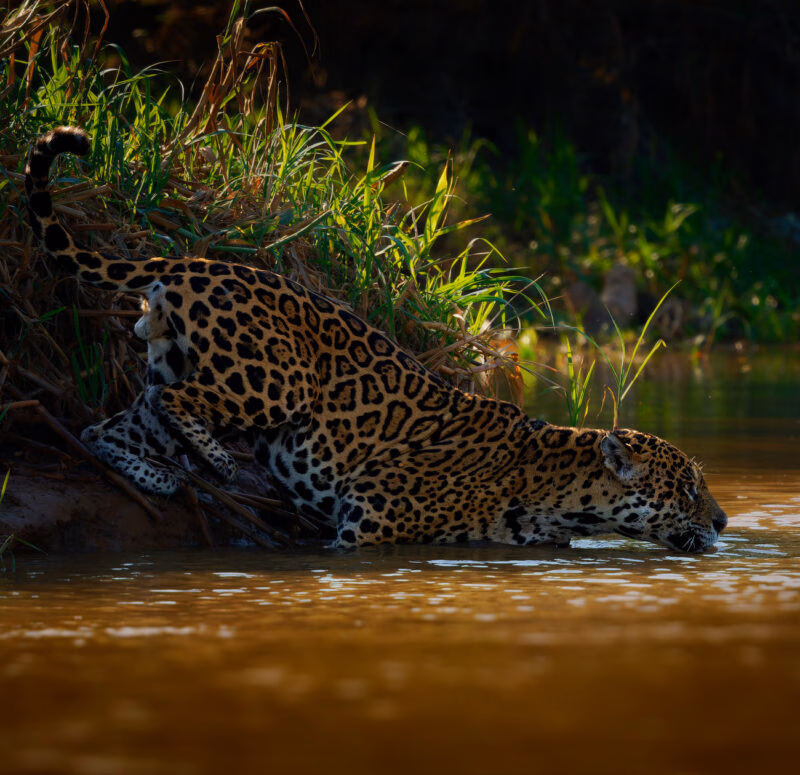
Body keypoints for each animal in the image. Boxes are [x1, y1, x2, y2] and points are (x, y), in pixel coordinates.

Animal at [24, 126, 728, 552]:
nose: (723, 521)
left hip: (170, 359)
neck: (557, 493)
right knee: (176, 405)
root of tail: (194, 263)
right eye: (687, 489)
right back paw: (218, 461)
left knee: (111, 424)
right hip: (275, 381)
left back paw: (158, 472)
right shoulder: (365, 532)